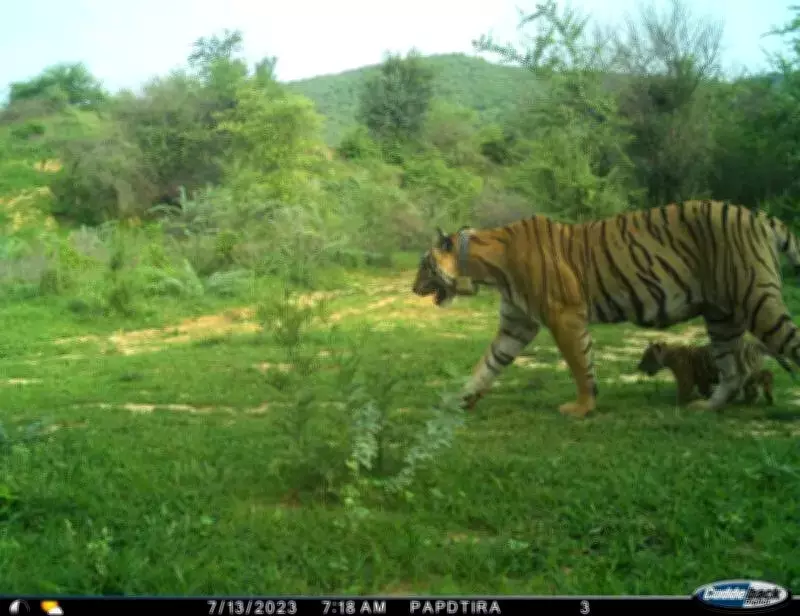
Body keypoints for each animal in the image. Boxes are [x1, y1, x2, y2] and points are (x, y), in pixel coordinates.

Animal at [636, 339, 796, 406]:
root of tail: (754, 343)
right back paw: (756, 399)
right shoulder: (702, 378)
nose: (638, 366)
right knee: (760, 381)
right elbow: (704, 389)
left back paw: (764, 398)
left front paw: (679, 402)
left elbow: (684, 390)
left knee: (766, 375)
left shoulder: (686, 378)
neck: (669, 356)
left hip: (747, 372)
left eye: (646, 356)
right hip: (749, 374)